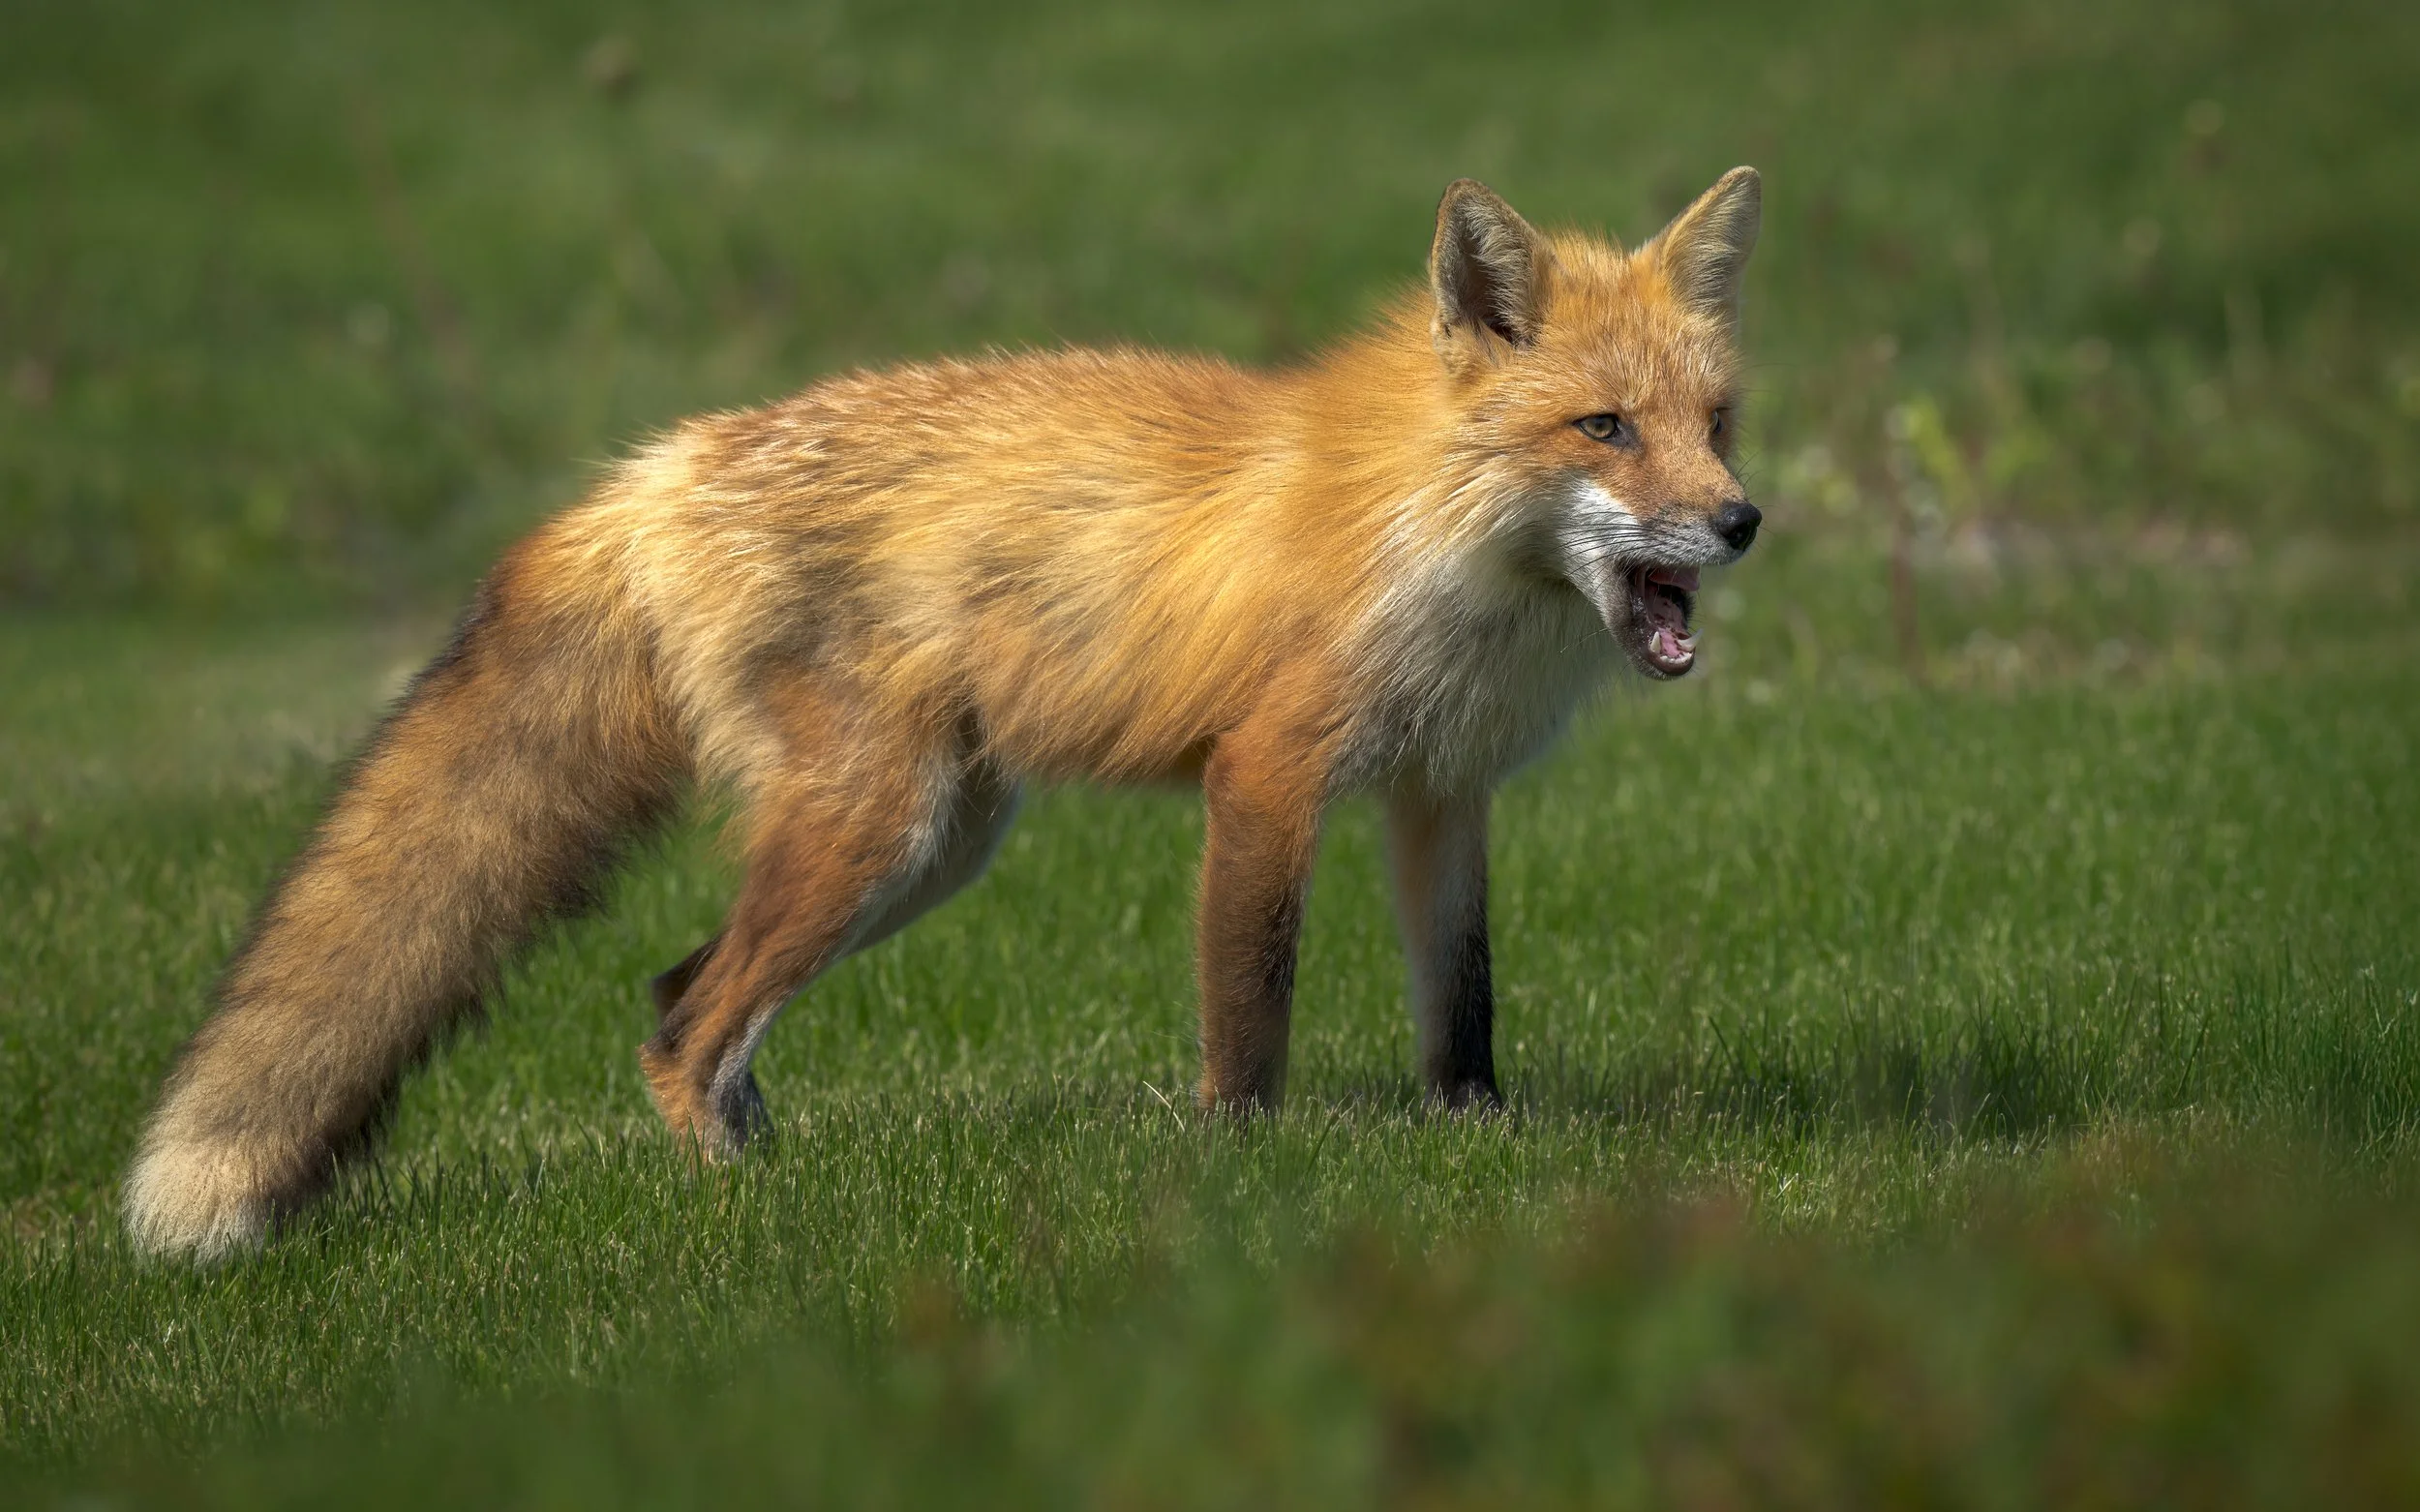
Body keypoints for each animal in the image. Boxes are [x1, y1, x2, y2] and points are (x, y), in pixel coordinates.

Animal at [124, 168, 1765, 1258]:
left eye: (1717, 423)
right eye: (1604, 428)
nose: (1744, 521)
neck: (1440, 537)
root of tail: (659, 465)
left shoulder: (1439, 789)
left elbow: (1463, 1002)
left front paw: (1476, 1139)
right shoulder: (1269, 774)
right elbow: (1251, 1008)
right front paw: (1237, 1177)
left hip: (931, 847)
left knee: (676, 996)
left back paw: (773, 1169)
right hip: (880, 829)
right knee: (685, 1029)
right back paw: (744, 1223)